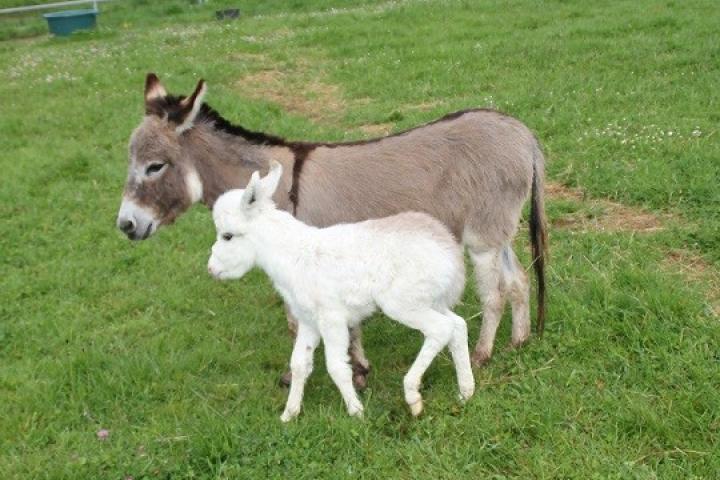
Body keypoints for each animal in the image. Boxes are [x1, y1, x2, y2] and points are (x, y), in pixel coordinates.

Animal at [205, 161, 476, 420]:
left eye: (227, 236)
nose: (211, 269)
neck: (293, 255)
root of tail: (449, 250)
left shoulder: (332, 318)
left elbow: (336, 366)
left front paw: (356, 411)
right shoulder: (308, 321)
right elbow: (299, 365)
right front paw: (289, 414)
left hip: (403, 303)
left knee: (440, 329)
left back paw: (413, 396)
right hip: (431, 300)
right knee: (458, 326)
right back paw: (465, 392)